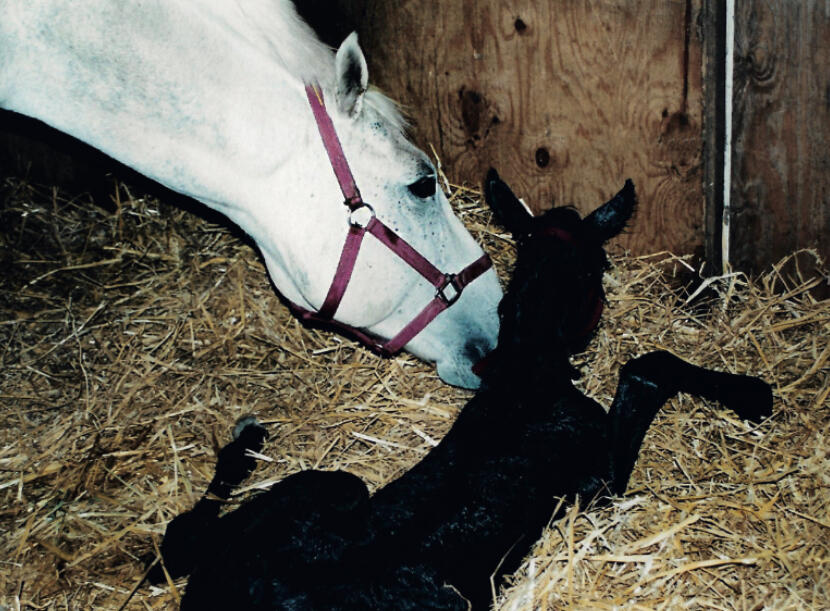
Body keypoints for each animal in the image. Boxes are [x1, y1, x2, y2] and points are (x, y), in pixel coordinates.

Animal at [148, 170, 773, 609]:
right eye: (600, 266)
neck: (525, 373)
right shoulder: (597, 478)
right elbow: (647, 369)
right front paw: (753, 394)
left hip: (328, 488)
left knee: (176, 544)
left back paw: (246, 443)